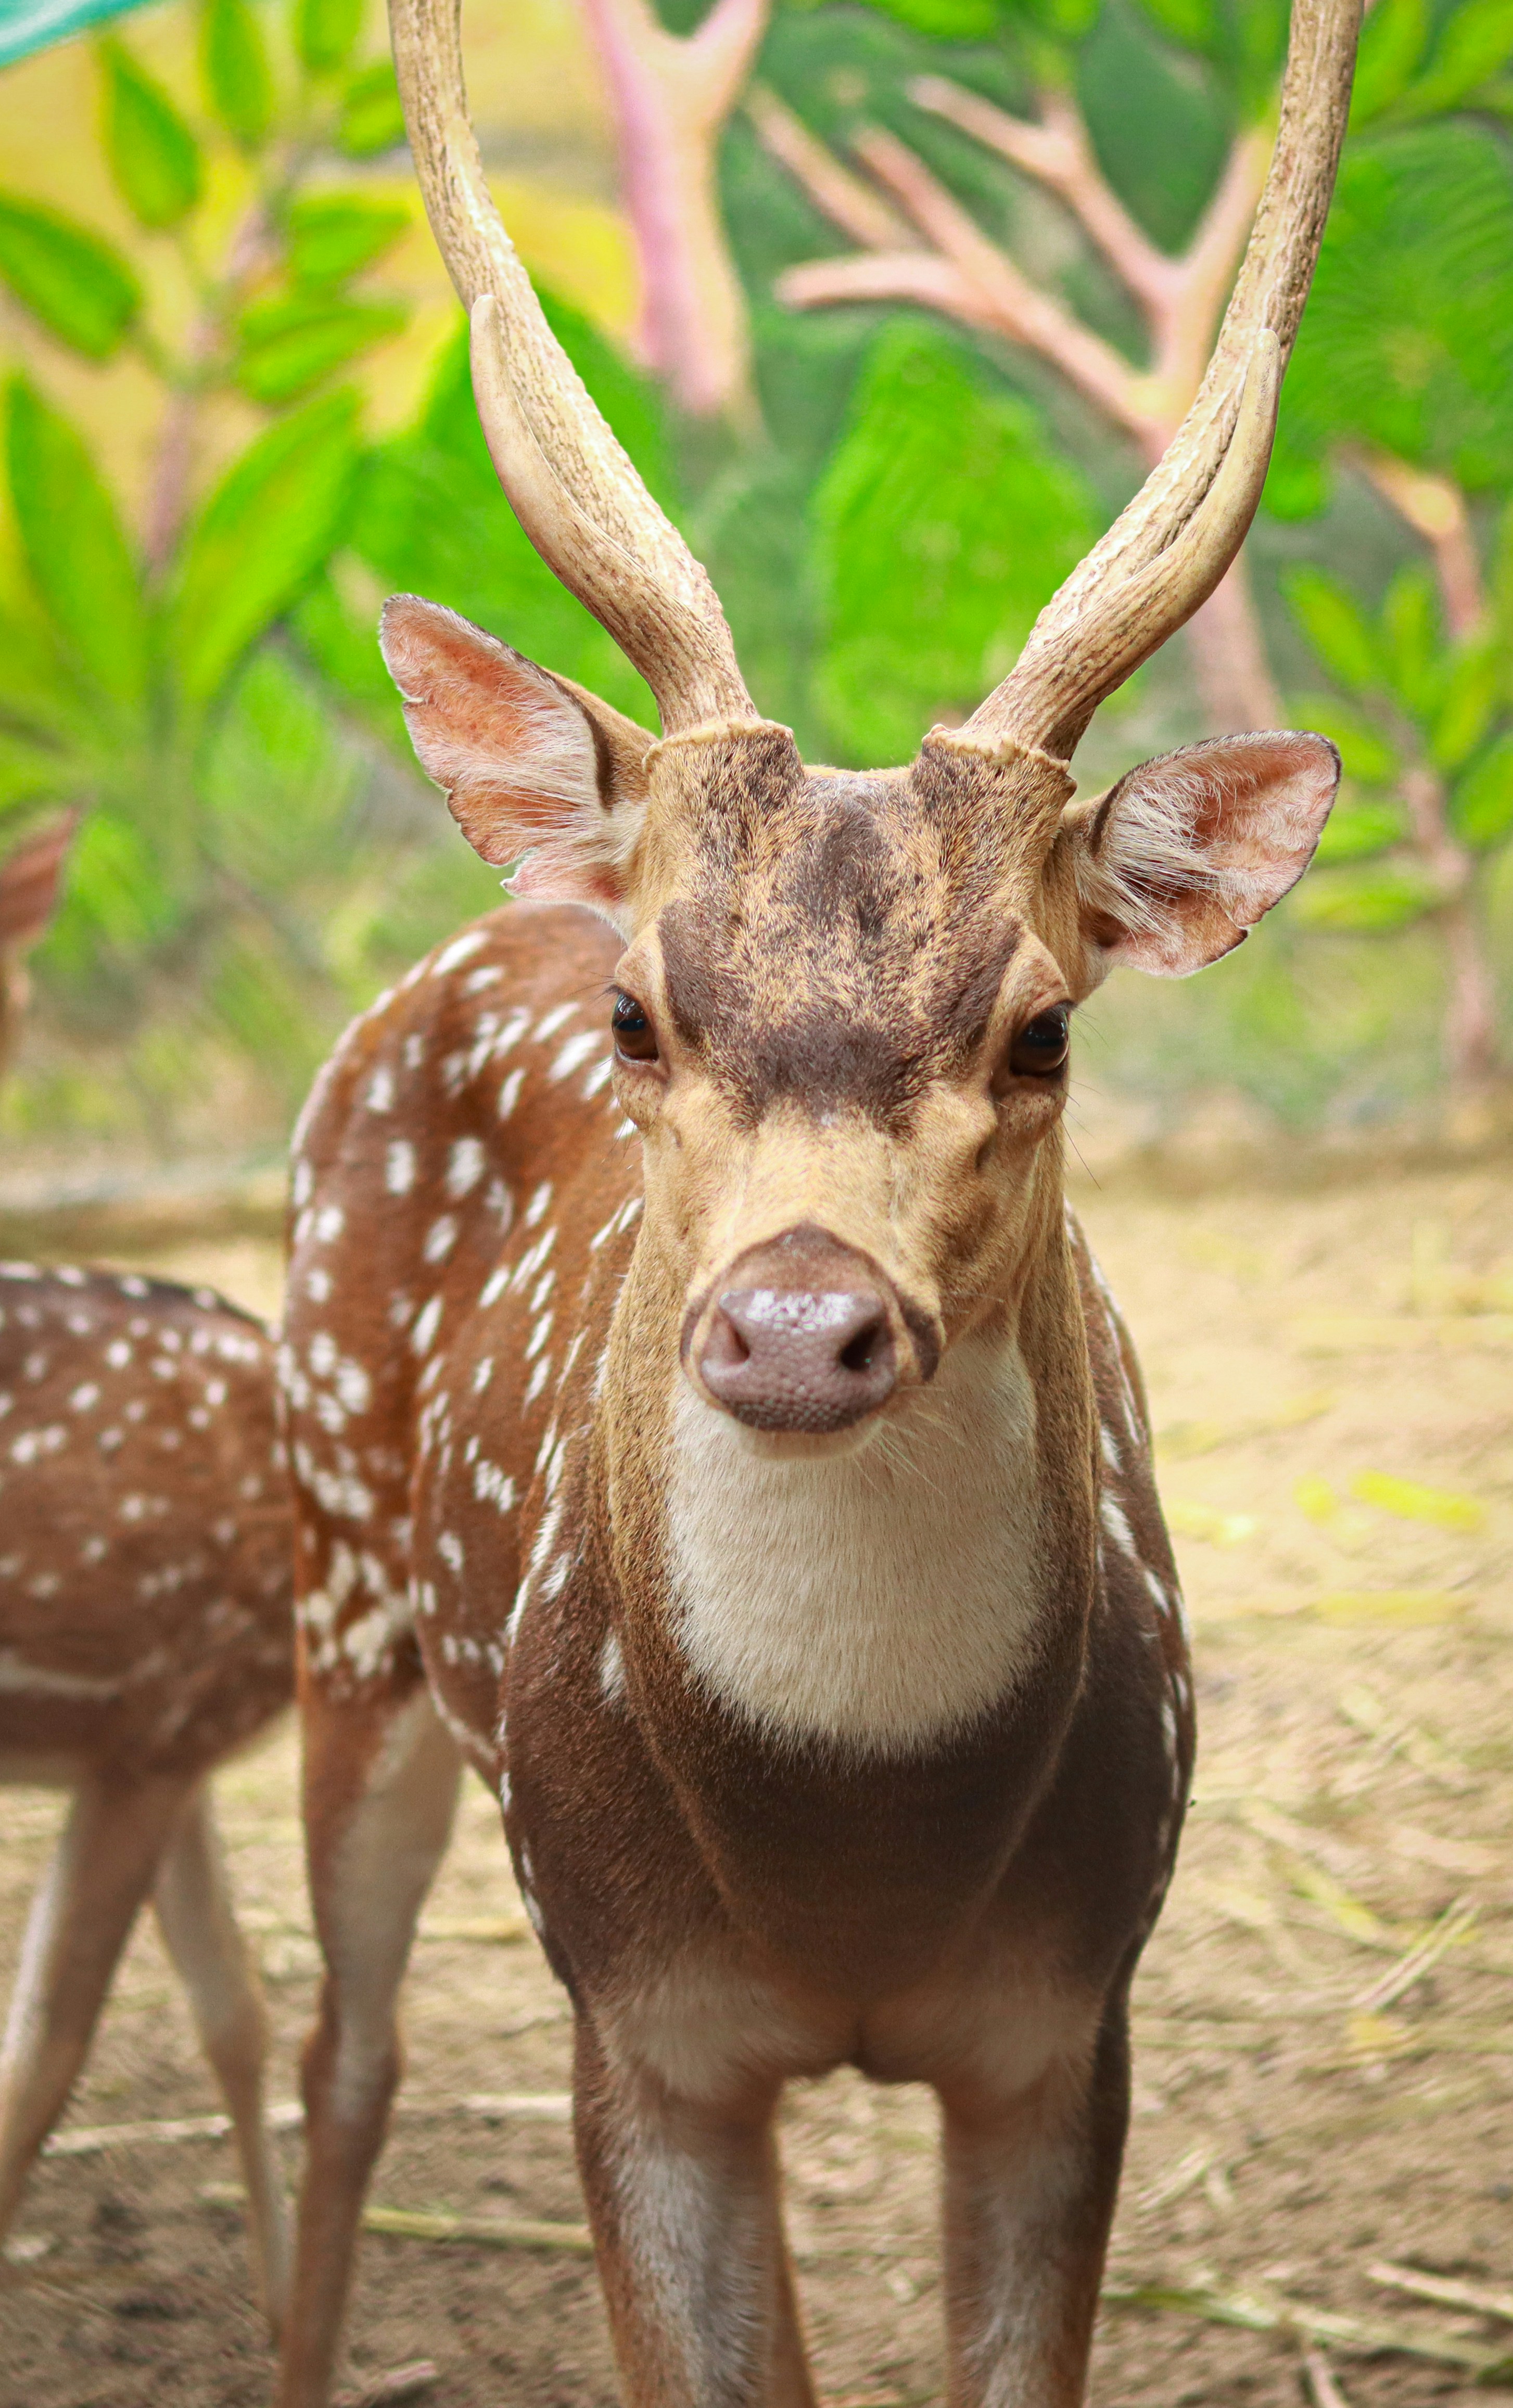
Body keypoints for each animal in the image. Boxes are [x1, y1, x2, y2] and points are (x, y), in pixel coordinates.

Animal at [274, 0, 1358, 2395]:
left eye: (1043, 1026)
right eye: (642, 1013)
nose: (792, 1321)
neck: (846, 1857)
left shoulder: (1066, 2019)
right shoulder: (635, 2019)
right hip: (343, 1594)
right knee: (341, 2058)